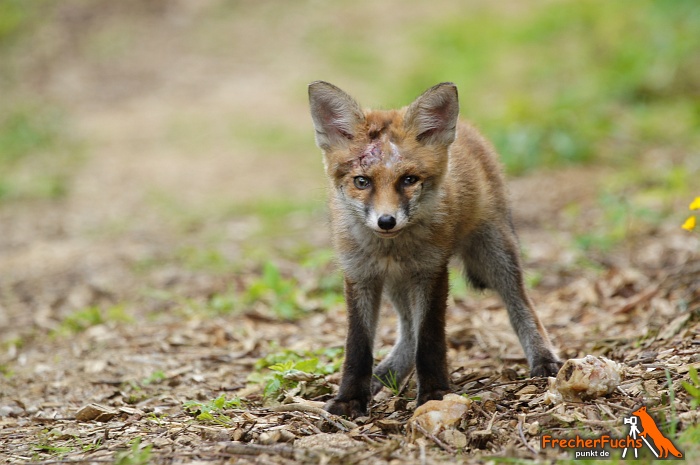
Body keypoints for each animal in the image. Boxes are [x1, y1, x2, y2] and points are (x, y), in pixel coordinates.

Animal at [308, 80, 560, 416]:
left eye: (408, 180)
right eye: (362, 181)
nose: (386, 221)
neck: (391, 249)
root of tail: (466, 128)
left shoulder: (432, 271)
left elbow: (429, 340)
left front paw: (434, 394)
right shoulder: (360, 275)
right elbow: (359, 346)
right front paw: (349, 399)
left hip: (495, 255)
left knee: (521, 305)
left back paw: (543, 360)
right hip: (397, 284)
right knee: (407, 331)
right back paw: (384, 376)